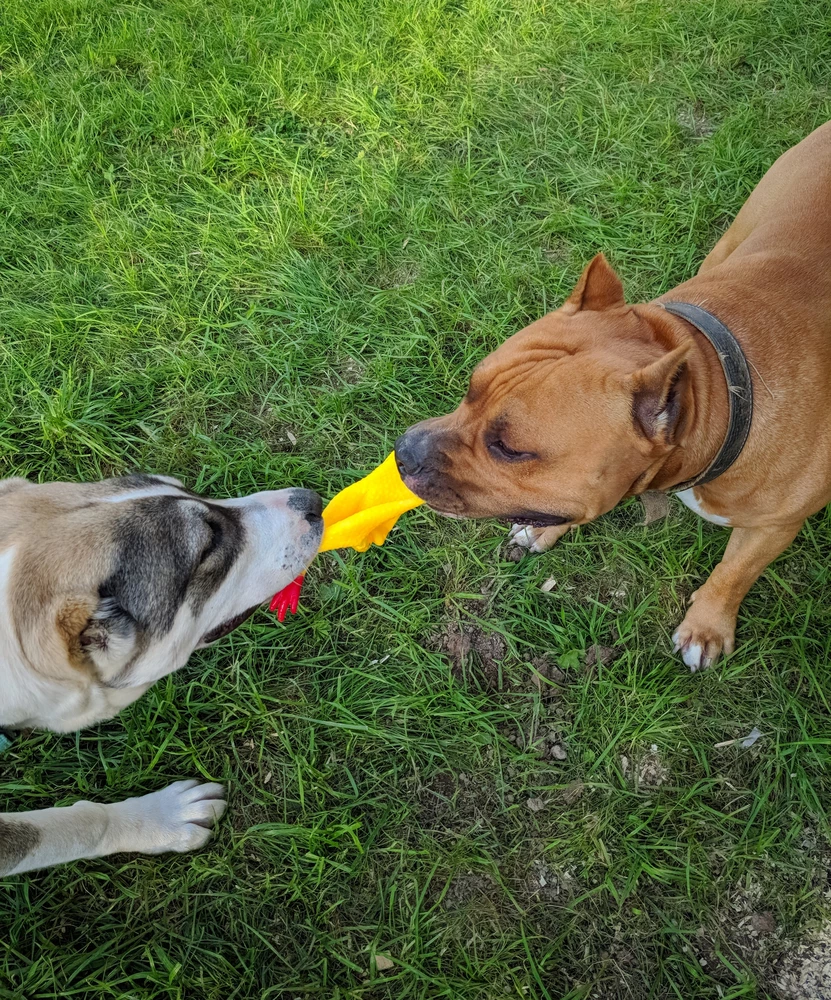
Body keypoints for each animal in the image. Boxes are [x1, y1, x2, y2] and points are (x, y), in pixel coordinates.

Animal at [394, 119, 831, 672]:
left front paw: (707, 627)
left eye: (509, 449)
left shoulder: (774, 527)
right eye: (471, 390)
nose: (403, 452)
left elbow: (733, 574)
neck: (718, 386)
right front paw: (544, 530)